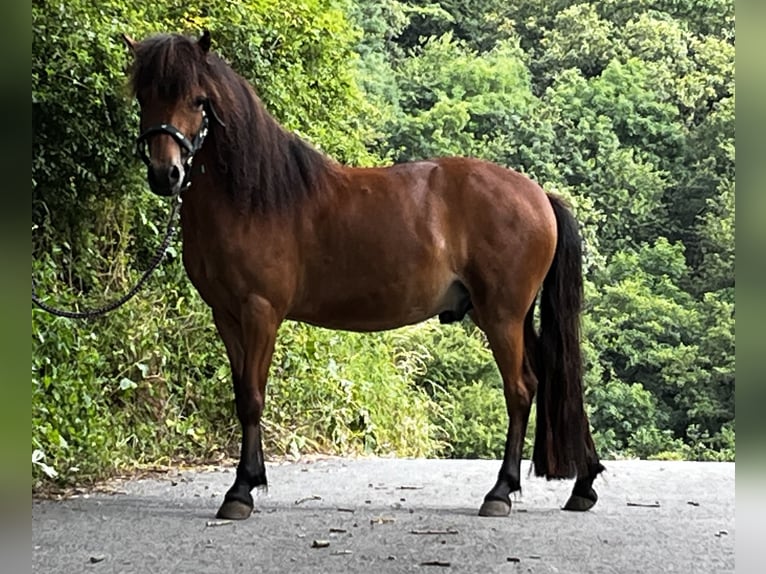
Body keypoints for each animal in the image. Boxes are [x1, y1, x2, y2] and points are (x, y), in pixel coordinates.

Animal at [122, 30, 604, 520]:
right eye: (144, 95)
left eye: (198, 100)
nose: (166, 173)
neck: (254, 198)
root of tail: (539, 195)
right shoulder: (227, 315)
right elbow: (242, 396)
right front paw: (249, 479)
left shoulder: (260, 313)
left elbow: (254, 397)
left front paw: (240, 491)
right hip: (516, 317)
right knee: (554, 380)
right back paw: (582, 483)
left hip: (502, 317)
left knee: (521, 390)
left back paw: (501, 491)